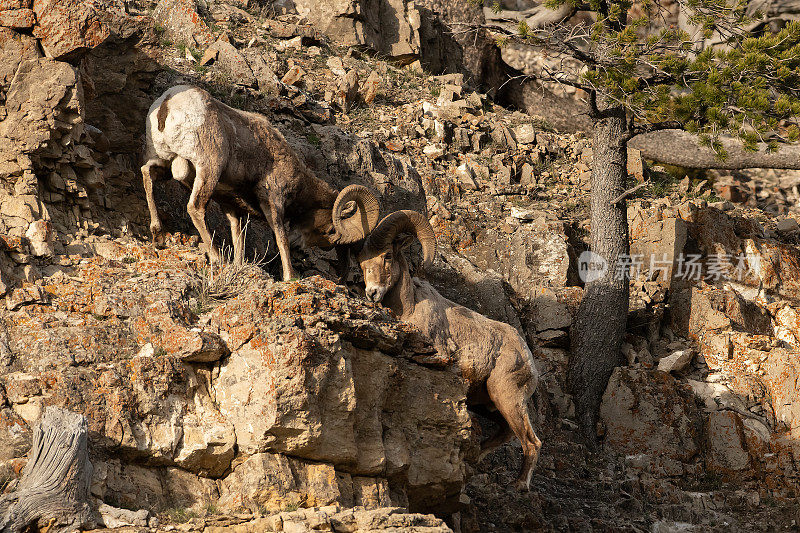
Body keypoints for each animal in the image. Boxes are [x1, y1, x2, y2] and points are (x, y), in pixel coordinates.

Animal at [141, 84, 382, 278]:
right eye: (331, 230)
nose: (298, 245)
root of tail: (168, 103)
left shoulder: (232, 207)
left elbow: (238, 238)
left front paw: (239, 265)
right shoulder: (273, 200)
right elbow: (280, 237)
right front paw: (289, 277)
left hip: (164, 161)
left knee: (147, 174)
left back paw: (157, 235)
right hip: (207, 168)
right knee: (195, 207)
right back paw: (217, 257)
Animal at [360, 209, 544, 490]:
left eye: (387, 255)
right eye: (362, 262)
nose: (372, 293)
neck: (410, 308)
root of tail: (528, 359)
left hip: (507, 396)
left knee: (531, 442)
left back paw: (519, 485)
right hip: (490, 404)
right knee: (506, 433)